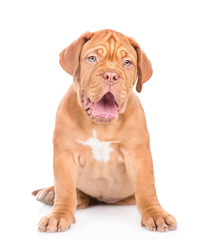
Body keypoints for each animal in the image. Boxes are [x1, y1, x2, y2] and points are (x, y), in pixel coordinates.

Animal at [32, 29, 176, 232]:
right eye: (92, 58)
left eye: (127, 62)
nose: (111, 76)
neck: (100, 125)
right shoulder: (65, 155)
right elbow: (65, 188)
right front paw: (58, 215)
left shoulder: (138, 155)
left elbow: (147, 189)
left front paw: (156, 215)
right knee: (72, 193)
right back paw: (51, 193)